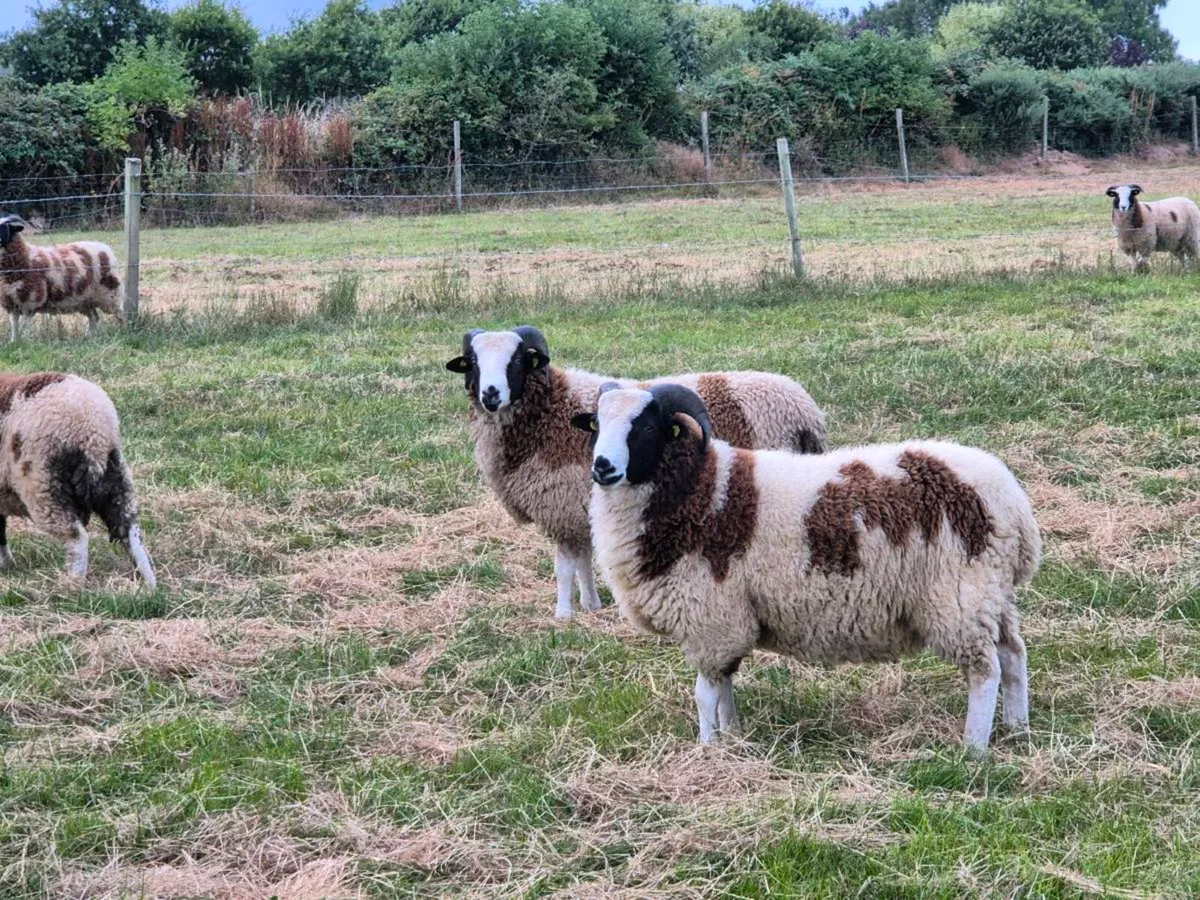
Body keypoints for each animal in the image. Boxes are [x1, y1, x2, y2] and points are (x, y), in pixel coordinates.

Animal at [0, 372, 156, 588]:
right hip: (117, 478)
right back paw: (151, 584)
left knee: (77, 537)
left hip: (45, 484)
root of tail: (94, 432)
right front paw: (8, 565)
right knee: (130, 531)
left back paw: (72, 586)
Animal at [445, 325, 827, 620]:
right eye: (474, 362)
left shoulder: (560, 506)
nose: (491, 394)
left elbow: (565, 567)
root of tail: (804, 409)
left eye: (516, 360)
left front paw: (563, 614)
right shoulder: (579, 509)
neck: (550, 412)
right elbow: (584, 561)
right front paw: (591, 605)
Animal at [577, 383, 1041, 751]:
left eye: (646, 427)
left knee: (985, 670)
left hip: (960, 596)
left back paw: (973, 748)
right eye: (596, 426)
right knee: (1013, 654)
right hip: (991, 593)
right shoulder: (727, 622)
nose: (603, 467)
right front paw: (734, 737)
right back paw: (1018, 728)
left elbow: (705, 694)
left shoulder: (711, 617)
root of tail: (1012, 499)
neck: (699, 489)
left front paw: (708, 747)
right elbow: (725, 686)